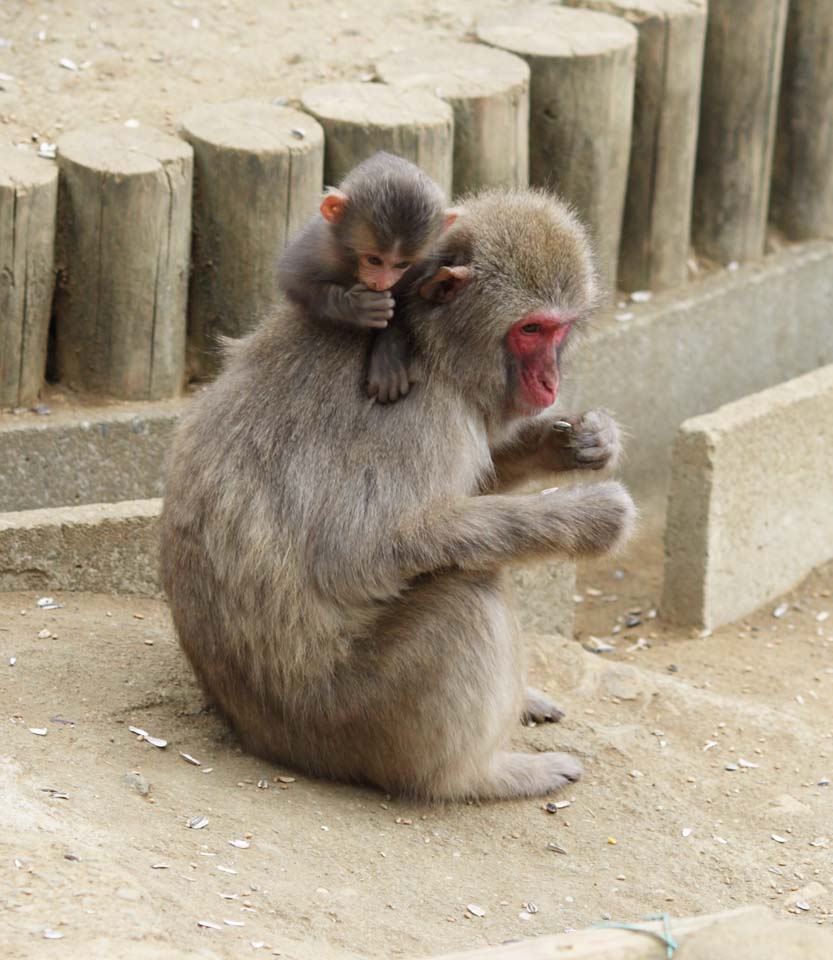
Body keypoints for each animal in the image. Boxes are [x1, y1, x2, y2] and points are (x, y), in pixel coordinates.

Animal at [161, 188, 632, 804]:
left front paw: (582, 441)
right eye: (530, 330)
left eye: (559, 329)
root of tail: (248, 730)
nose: (550, 381)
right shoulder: (413, 411)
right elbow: (359, 553)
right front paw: (592, 516)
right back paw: (480, 775)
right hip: (350, 720)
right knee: (466, 592)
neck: (431, 347)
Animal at [280, 149, 456, 402]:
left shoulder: (425, 261)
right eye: (374, 260)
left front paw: (388, 359)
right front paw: (356, 307)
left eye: (402, 264)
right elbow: (294, 280)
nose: (381, 282)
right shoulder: (321, 246)